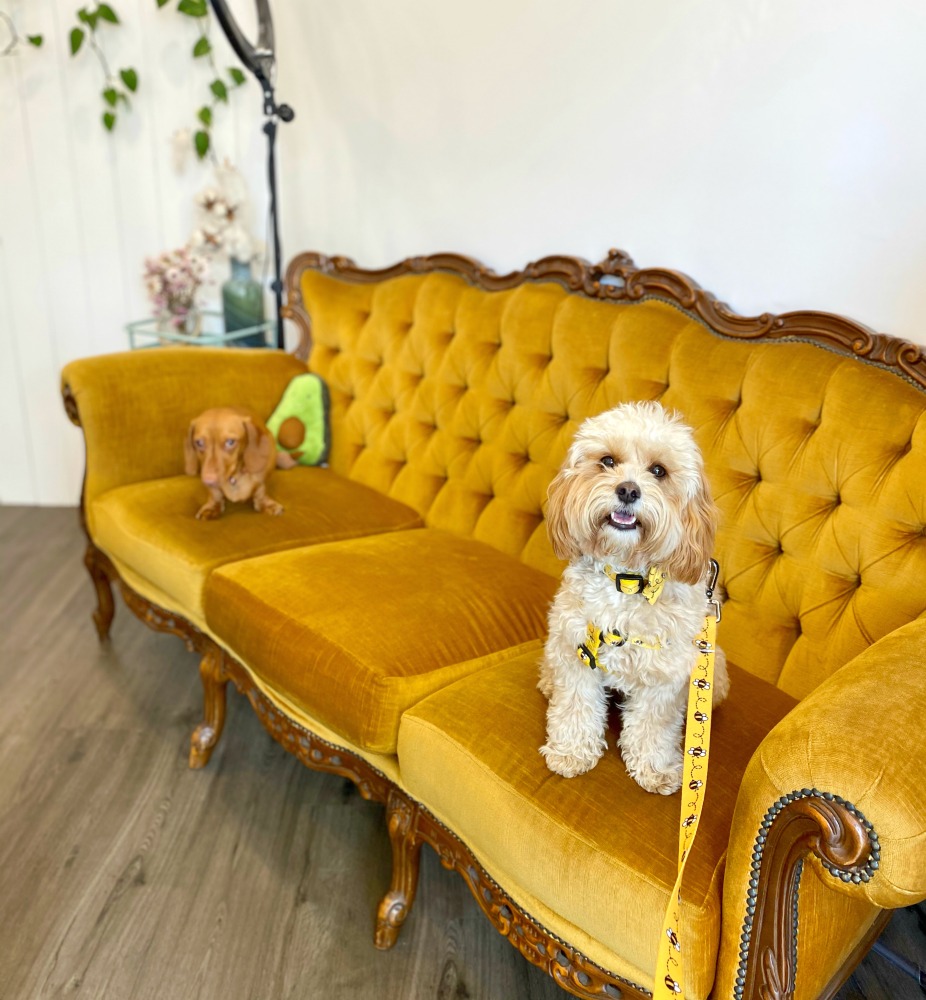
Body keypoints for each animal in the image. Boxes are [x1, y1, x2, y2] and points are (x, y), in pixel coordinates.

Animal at [540, 402, 728, 792]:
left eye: (658, 471)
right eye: (608, 461)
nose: (627, 490)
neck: (627, 579)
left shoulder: (667, 674)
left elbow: (655, 724)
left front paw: (655, 768)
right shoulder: (575, 647)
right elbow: (576, 704)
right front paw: (571, 752)